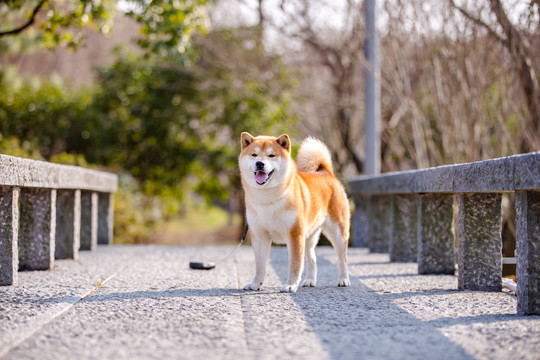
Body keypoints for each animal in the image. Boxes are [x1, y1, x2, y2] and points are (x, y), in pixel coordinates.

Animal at [239, 132, 350, 292]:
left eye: (271, 155)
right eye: (254, 154)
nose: (260, 163)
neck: (268, 200)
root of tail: (326, 172)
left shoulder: (294, 234)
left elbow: (295, 264)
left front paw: (290, 284)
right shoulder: (259, 235)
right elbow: (260, 266)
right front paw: (255, 284)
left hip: (337, 233)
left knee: (342, 258)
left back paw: (343, 279)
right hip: (309, 236)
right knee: (312, 258)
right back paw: (309, 280)